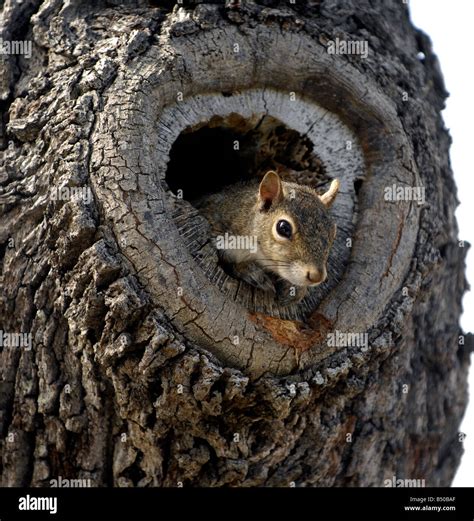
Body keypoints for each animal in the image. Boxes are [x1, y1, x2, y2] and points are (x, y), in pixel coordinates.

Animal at [193, 170, 340, 304]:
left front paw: (295, 289)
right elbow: (228, 262)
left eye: (333, 232)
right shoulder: (219, 233)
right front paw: (252, 273)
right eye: (283, 228)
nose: (316, 277)